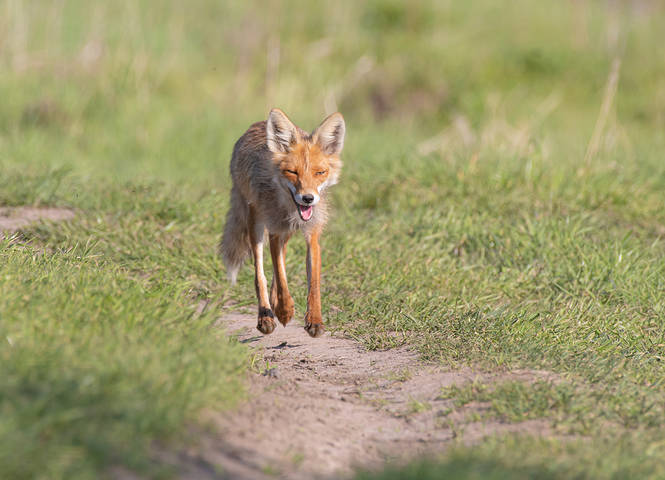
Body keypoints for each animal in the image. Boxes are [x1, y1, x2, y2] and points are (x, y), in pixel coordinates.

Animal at [219, 108, 345, 337]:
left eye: (319, 173)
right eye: (293, 172)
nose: (308, 198)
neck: (290, 210)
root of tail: (258, 124)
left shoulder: (312, 235)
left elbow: (313, 284)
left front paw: (314, 320)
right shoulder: (275, 231)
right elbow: (278, 275)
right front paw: (285, 310)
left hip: (283, 232)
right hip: (256, 225)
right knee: (260, 274)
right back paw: (266, 316)